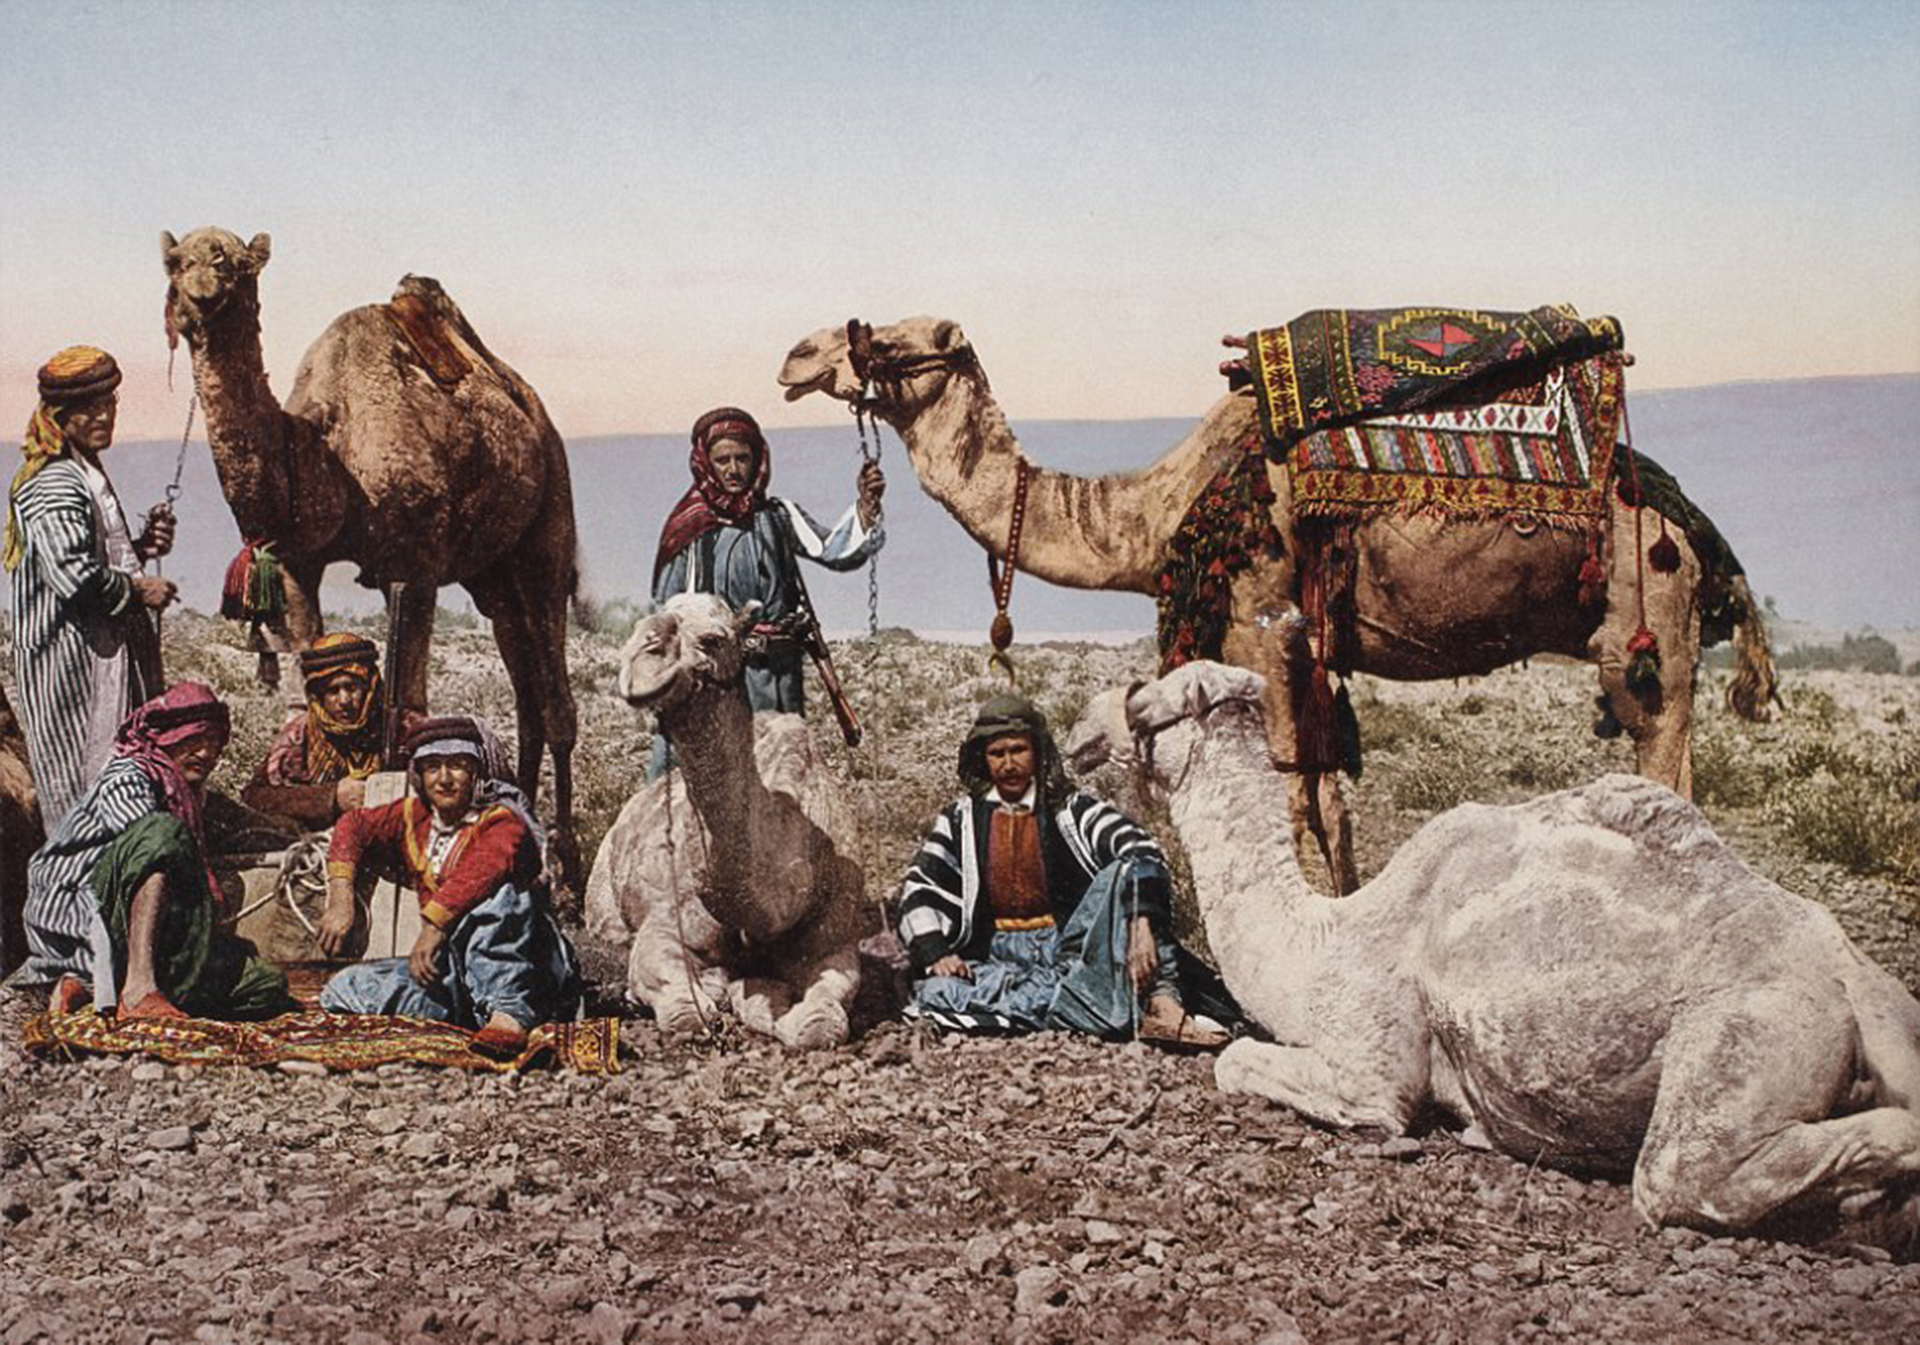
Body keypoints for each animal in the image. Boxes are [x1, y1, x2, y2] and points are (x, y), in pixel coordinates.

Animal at [161, 225, 579, 886]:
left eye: (235, 264)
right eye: (176, 261)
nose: (199, 295)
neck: (326, 450)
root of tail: (531, 407)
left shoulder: (417, 564)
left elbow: (412, 702)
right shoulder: (299, 565)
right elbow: (306, 680)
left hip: (547, 527)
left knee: (557, 699)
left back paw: (564, 862)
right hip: (492, 578)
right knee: (526, 692)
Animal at [576, 594, 864, 1051]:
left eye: (712, 639)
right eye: (634, 631)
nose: (643, 656)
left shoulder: (834, 938)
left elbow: (820, 1022)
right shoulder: (668, 924)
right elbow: (682, 1010)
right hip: (603, 893)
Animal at [775, 314, 1766, 890]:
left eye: (891, 333)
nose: (796, 354)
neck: (1160, 513)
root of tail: (1694, 525)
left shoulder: (1265, 621)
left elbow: (1290, 793)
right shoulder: (1313, 652)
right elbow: (1332, 800)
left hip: (1647, 621)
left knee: (1667, 766)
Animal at [1067, 656, 1920, 1235]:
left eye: (1143, 698)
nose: (1077, 733)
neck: (1332, 934)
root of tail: (1849, 976)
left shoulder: (1374, 1063)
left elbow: (1242, 1060)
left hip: (1748, 1034)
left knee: (1684, 1173)